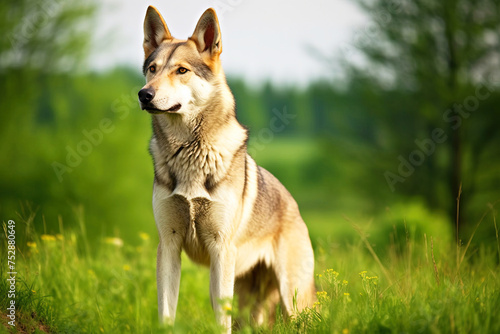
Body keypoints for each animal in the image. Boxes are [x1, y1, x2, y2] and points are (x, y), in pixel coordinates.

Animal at [139, 5, 314, 332]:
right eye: (152, 69)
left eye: (181, 70)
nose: (145, 95)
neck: (189, 153)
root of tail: (293, 204)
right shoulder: (168, 246)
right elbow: (166, 314)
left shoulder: (221, 250)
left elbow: (221, 320)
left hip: (294, 301)